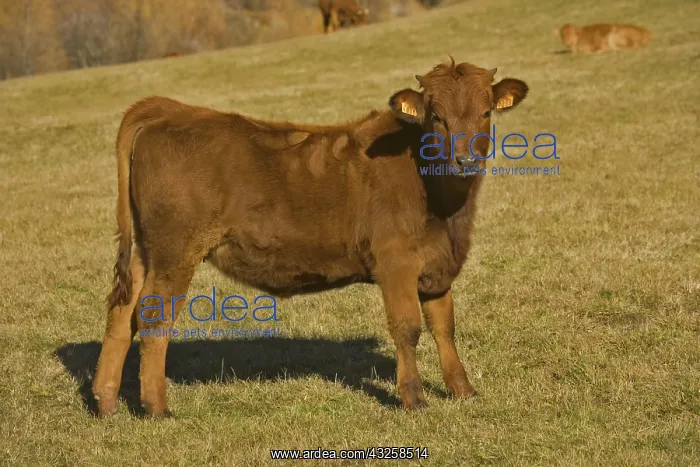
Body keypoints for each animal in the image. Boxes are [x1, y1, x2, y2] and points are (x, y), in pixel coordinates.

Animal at [92, 58, 529, 418]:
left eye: (486, 112)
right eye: (436, 116)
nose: (465, 160)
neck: (445, 210)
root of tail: (169, 109)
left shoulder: (437, 265)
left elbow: (444, 326)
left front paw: (462, 390)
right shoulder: (396, 262)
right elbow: (407, 328)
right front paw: (414, 398)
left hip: (145, 252)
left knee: (122, 314)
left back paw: (108, 403)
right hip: (175, 252)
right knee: (153, 316)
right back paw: (156, 407)